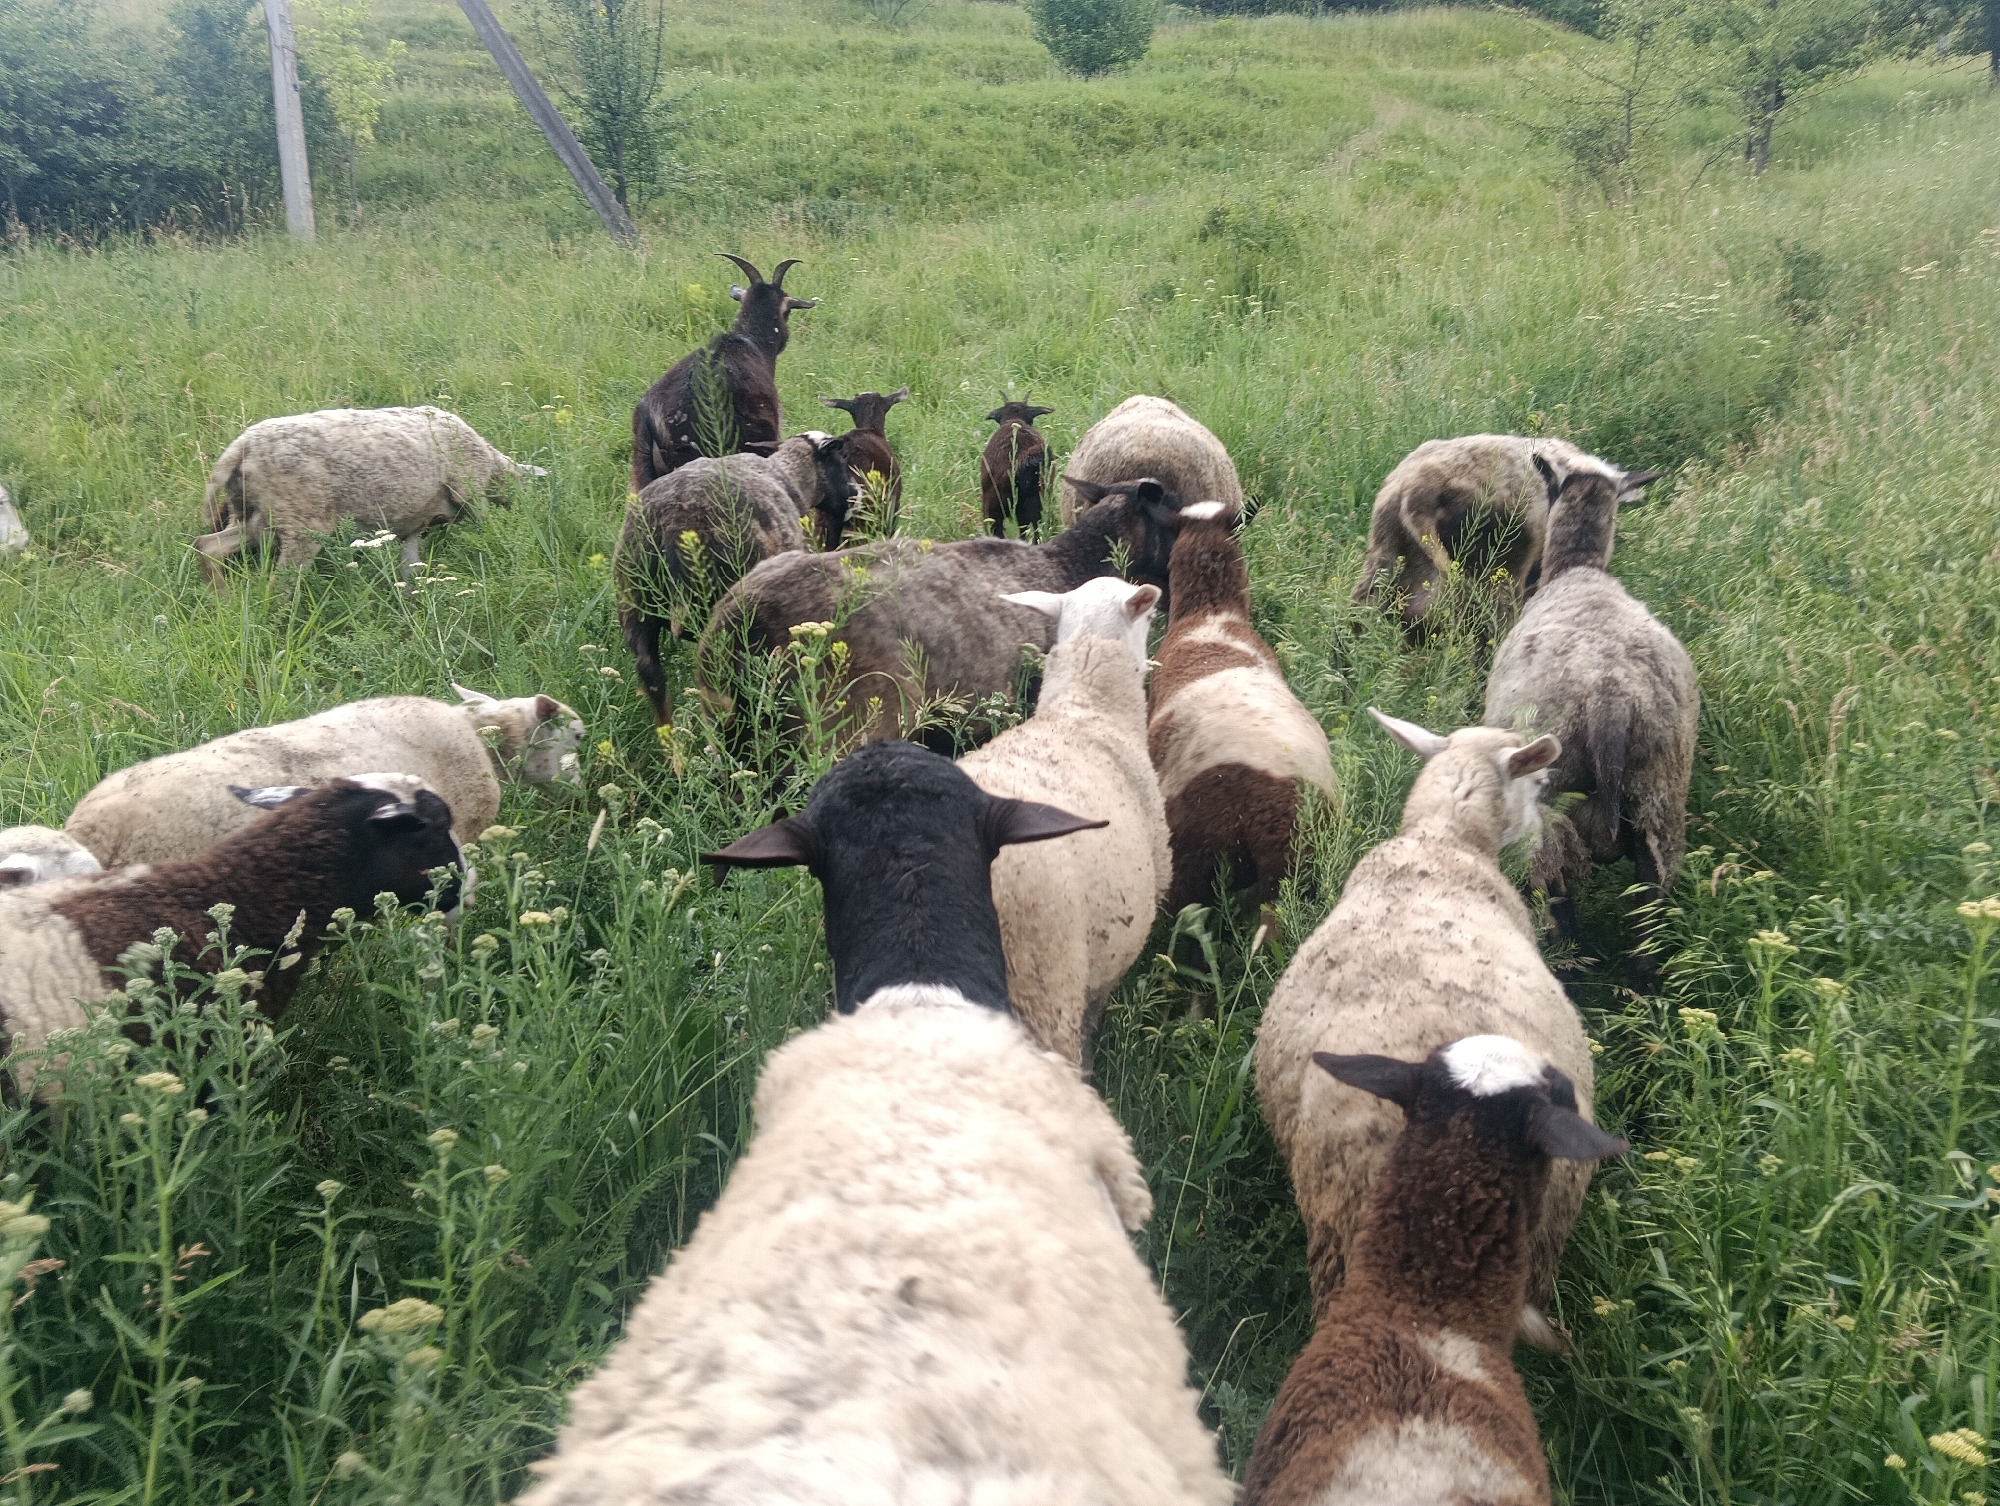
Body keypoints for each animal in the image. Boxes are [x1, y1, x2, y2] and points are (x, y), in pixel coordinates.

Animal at [192, 406, 546, 586]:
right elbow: (486, 527)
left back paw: (220, 599)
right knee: (279, 583)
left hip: (255, 516)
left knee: (207, 546)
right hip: (301, 521)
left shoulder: (412, 524)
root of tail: (242, 446)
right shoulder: (470, 492)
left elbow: (409, 566)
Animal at [616, 435, 858, 725]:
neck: (792, 476)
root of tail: (674, 522)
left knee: (650, 673)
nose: (856, 492)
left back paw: (669, 735)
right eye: (843, 457)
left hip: (633, 604)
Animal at [1483, 458, 1698, 989]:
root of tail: (1609, 699)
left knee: (1554, 884)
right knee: (1651, 898)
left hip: (1553, 797)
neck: (1578, 570)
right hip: (1659, 796)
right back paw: (1642, 986)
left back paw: (1568, 965)